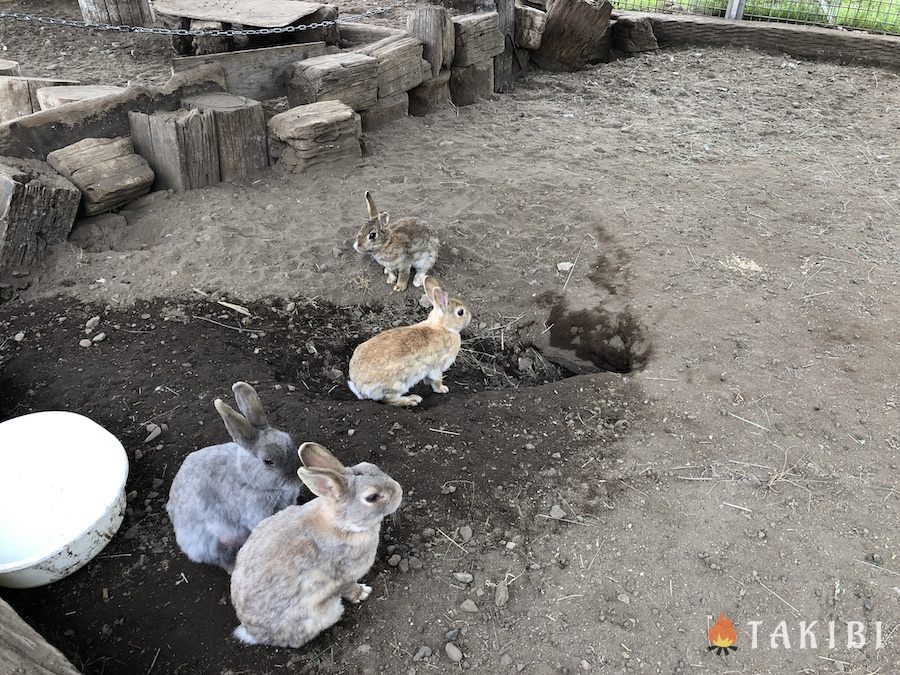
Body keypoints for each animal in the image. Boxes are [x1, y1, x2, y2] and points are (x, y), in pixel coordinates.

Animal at [163, 382, 300, 572]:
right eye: (268, 461)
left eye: (289, 440)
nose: (298, 479)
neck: (247, 478)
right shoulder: (256, 512)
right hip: (212, 544)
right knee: (222, 559)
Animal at [230, 444, 402, 648]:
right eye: (372, 497)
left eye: (370, 466)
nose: (399, 491)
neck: (342, 524)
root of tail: (252, 633)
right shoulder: (344, 576)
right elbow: (349, 588)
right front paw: (362, 593)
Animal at [346, 276, 472, 406]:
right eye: (460, 312)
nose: (470, 316)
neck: (443, 327)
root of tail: (360, 387)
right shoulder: (436, 366)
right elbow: (437, 380)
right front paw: (442, 389)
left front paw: (427, 383)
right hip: (398, 384)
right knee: (389, 399)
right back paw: (412, 399)